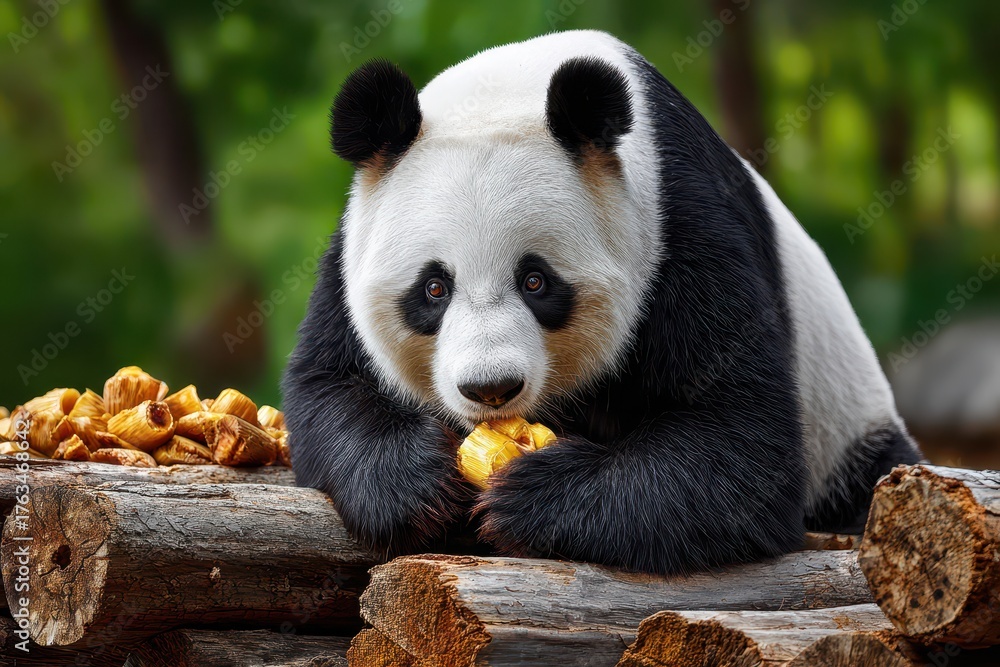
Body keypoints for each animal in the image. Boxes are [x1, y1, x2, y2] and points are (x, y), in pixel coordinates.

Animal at [282, 30, 922, 574]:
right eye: (434, 289)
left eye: (536, 282)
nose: (491, 388)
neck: (518, 81)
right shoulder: (352, 250)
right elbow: (327, 384)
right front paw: (419, 481)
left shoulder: (676, 225)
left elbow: (739, 444)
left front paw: (529, 497)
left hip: (847, 430)